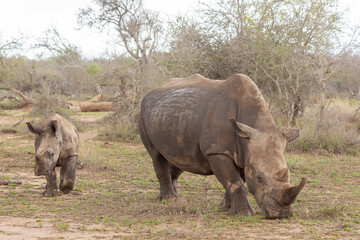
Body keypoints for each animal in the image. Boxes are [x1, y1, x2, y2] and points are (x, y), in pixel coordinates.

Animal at [139, 74, 306, 218]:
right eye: (259, 178)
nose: (282, 213)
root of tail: (151, 91)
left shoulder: (246, 149)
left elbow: (234, 181)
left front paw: (225, 208)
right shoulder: (218, 151)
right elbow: (235, 182)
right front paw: (244, 213)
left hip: (174, 118)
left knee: (182, 158)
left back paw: (173, 197)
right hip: (142, 111)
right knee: (156, 155)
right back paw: (168, 200)